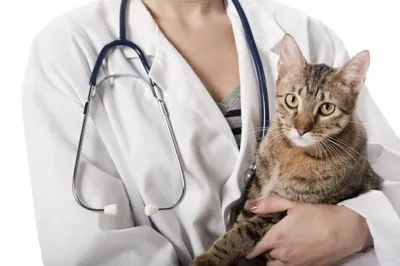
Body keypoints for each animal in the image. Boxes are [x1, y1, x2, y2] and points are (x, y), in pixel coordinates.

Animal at [191, 33, 382, 266]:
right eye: (292, 100)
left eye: (327, 108)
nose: (301, 129)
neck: (290, 152)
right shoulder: (256, 191)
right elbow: (241, 221)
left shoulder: (280, 210)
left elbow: (241, 233)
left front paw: (209, 258)